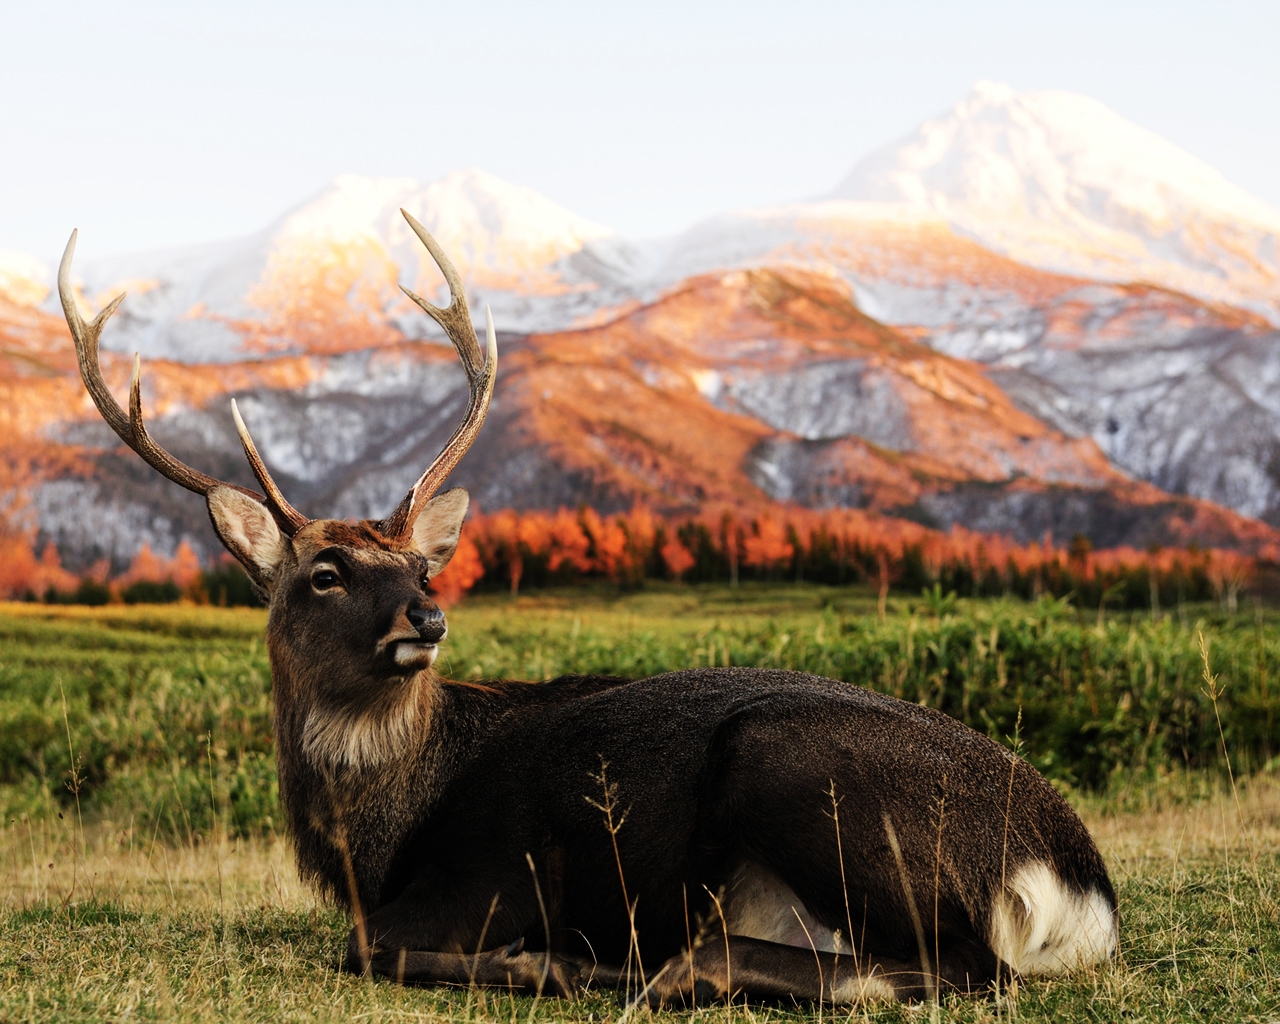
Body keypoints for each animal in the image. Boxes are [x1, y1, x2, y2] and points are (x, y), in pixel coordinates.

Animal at [60, 212, 1116, 1003]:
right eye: (324, 573)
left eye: (421, 571)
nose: (425, 622)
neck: (375, 839)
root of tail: (1077, 884)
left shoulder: (490, 874)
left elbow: (364, 947)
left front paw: (545, 961)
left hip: (797, 769)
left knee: (962, 966)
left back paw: (647, 967)